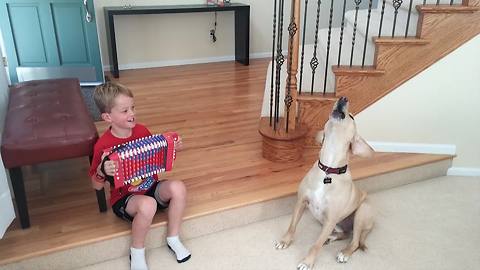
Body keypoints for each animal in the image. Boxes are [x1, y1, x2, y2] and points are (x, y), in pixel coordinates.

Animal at [276, 97, 376, 270]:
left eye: (352, 116)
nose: (343, 98)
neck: (329, 168)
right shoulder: (301, 202)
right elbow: (292, 226)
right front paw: (285, 241)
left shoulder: (330, 219)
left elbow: (315, 245)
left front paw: (307, 262)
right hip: (327, 221)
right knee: (345, 234)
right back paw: (331, 238)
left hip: (361, 212)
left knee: (355, 242)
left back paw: (344, 253)